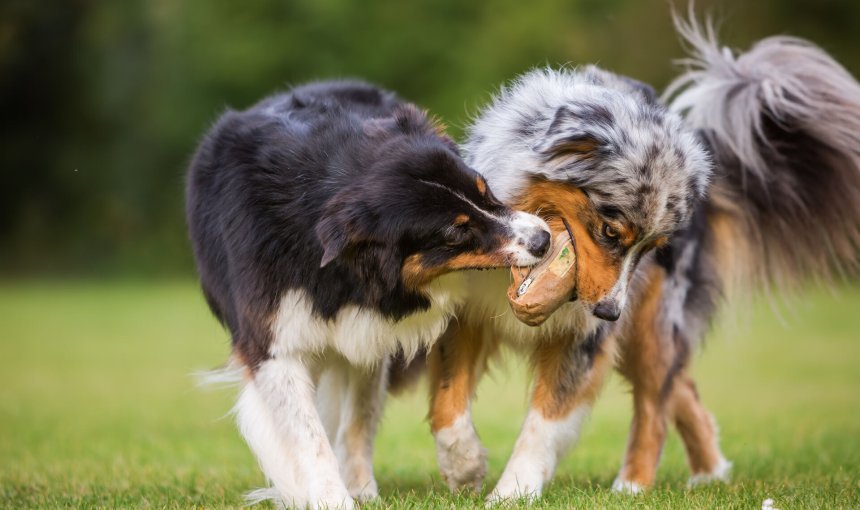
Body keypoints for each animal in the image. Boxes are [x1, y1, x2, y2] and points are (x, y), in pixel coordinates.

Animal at [187, 81, 552, 508]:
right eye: (454, 233)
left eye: (484, 189)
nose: (543, 239)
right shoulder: (272, 342)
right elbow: (308, 435)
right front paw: (331, 497)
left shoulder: (368, 328)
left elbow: (358, 419)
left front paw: (362, 490)